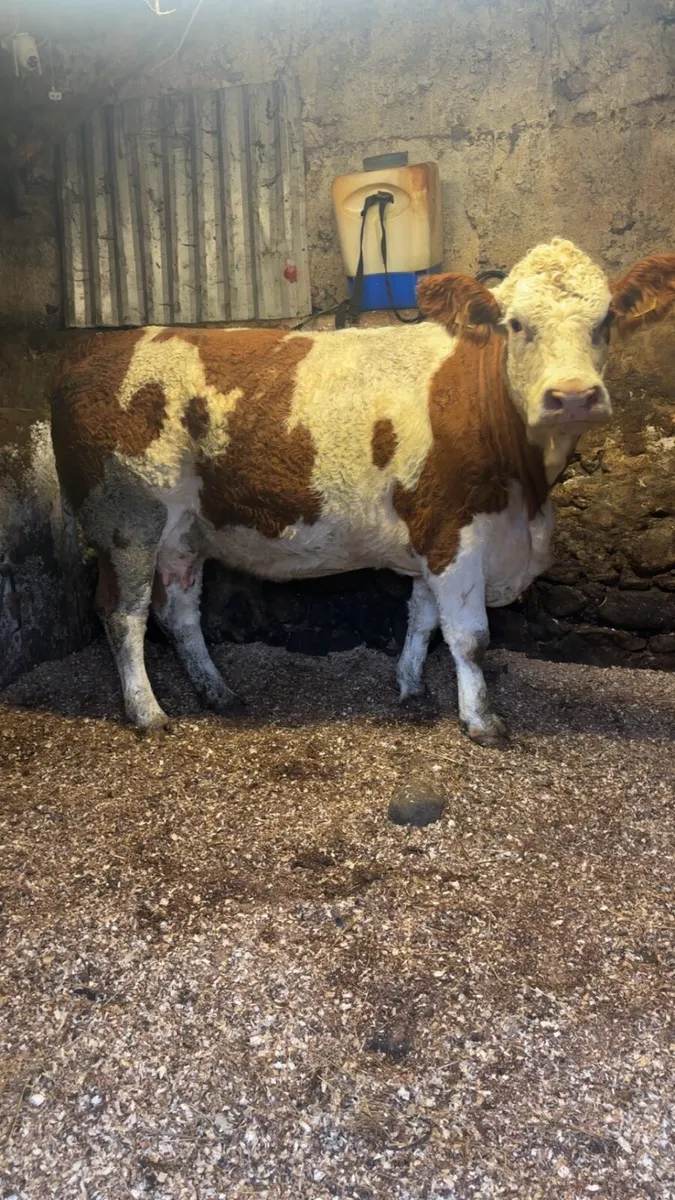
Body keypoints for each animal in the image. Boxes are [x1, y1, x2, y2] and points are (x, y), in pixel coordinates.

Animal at [50, 238, 675, 744]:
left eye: (605, 322)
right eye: (516, 324)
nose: (572, 396)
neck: (527, 499)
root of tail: (93, 351)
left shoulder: (431, 531)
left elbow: (422, 620)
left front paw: (411, 690)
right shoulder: (455, 531)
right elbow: (469, 638)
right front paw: (481, 722)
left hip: (184, 531)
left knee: (179, 611)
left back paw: (217, 693)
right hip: (126, 521)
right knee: (124, 613)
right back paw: (148, 714)